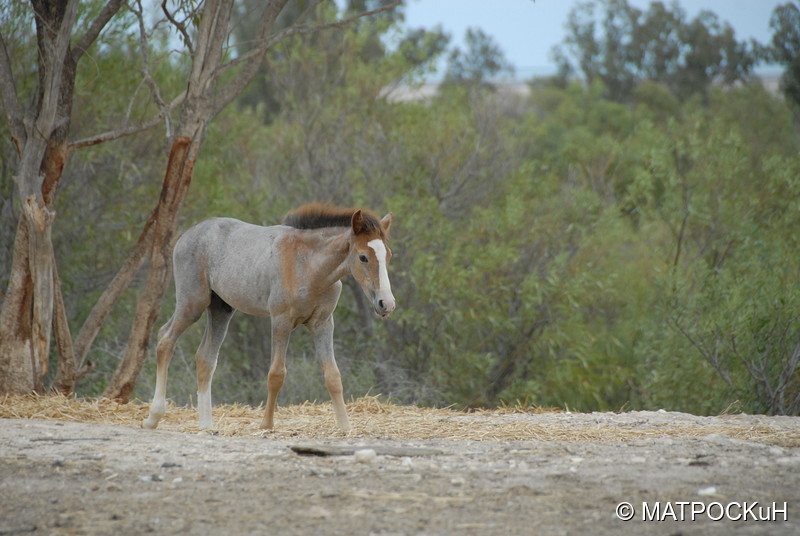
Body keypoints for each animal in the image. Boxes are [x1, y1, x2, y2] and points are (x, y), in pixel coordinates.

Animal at [145, 203, 396, 434]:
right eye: (363, 257)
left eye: (389, 256)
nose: (386, 304)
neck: (307, 266)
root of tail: (189, 232)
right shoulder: (280, 321)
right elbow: (276, 374)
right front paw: (266, 425)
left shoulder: (323, 324)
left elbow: (333, 376)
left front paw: (345, 427)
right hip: (192, 303)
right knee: (165, 339)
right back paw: (154, 416)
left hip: (221, 309)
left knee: (205, 357)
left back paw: (206, 425)